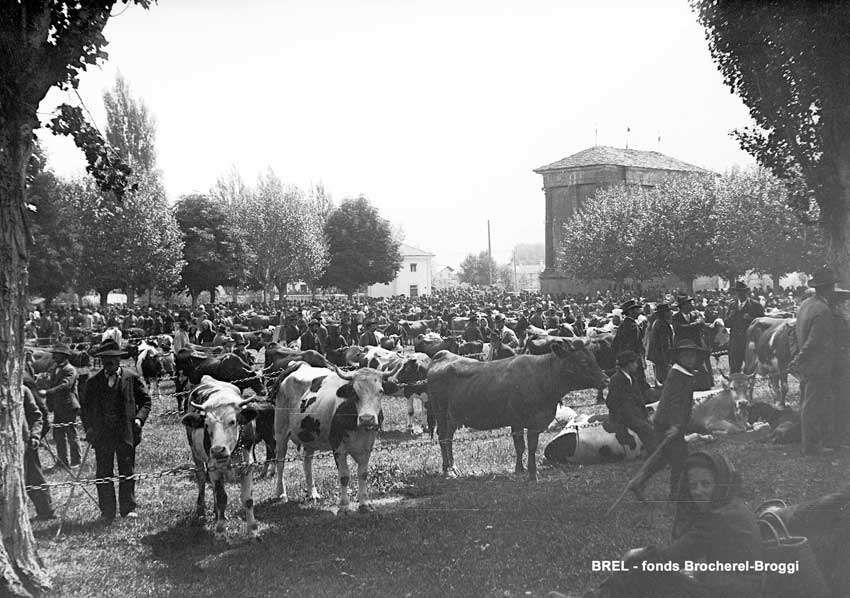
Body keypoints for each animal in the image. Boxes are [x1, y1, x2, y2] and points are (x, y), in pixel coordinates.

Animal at [183, 378, 264, 540]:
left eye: (232, 421)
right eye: (206, 425)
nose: (217, 450)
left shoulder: (248, 467)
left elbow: (248, 500)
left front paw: (253, 530)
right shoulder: (214, 469)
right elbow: (221, 498)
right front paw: (220, 531)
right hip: (196, 455)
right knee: (201, 478)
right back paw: (201, 508)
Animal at [274, 364, 400, 512]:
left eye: (380, 391)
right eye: (354, 392)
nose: (366, 419)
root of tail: (299, 365)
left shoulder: (367, 446)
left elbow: (363, 474)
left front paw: (364, 503)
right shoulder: (338, 447)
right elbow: (344, 476)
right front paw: (344, 506)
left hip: (309, 437)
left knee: (307, 464)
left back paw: (312, 493)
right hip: (280, 432)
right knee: (280, 463)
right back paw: (281, 493)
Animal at [428, 340, 608, 486]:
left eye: (594, 359)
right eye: (583, 361)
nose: (606, 379)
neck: (544, 377)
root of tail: (444, 354)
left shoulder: (533, 422)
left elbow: (526, 447)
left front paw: (522, 470)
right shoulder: (519, 420)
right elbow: (523, 446)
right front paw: (530, 474)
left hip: (452, 416)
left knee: (449, 439)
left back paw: (453, 467)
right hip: (440, 413)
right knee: (443, 438)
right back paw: (447, 470)